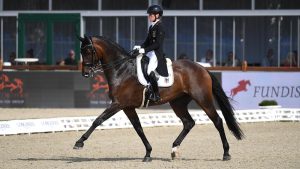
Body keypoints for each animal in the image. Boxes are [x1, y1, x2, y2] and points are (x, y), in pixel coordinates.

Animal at [73, 35, 244, 162]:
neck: (121, 70)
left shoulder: (118, 104)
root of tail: (202, 68)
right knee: (188, 122)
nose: (85, 73)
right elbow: (138, 128)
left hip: (203, 99)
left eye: (88, 50)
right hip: (178, 102)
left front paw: (79, 142)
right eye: (81, 51)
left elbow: (98, 120)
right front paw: (148, 153)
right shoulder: (127, 107)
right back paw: (174, 149)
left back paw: (226, 153)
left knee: (217, 121)